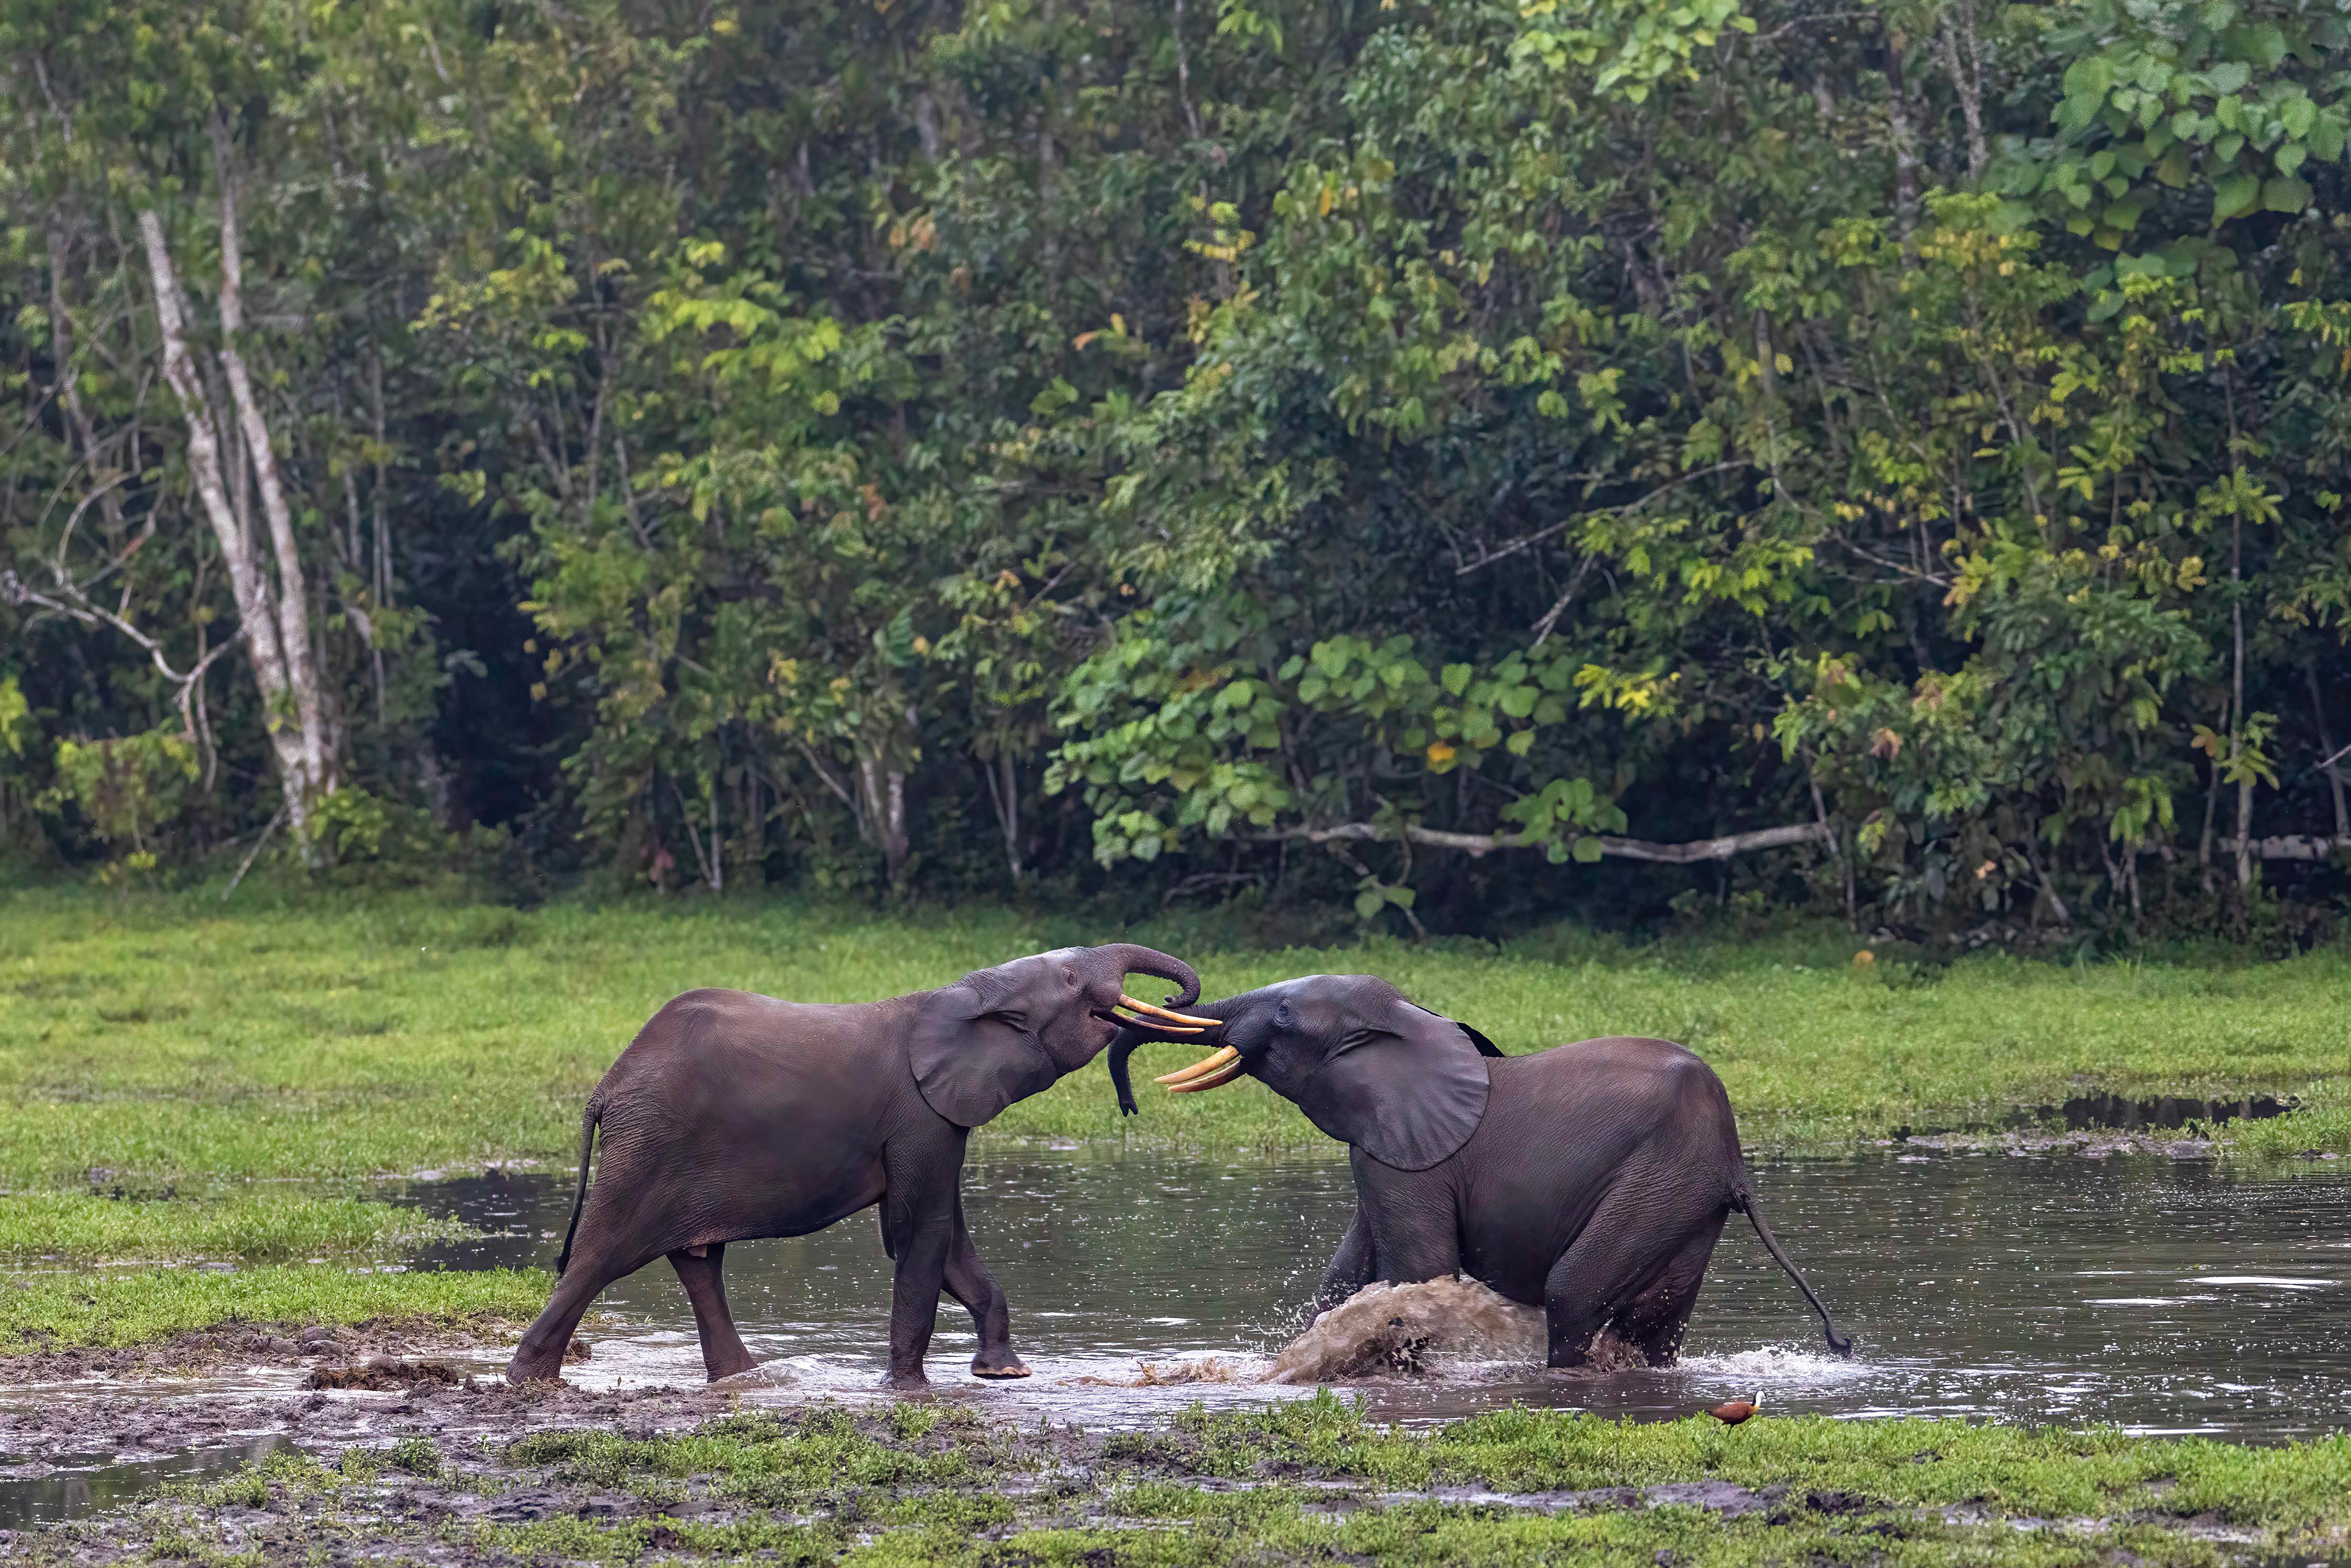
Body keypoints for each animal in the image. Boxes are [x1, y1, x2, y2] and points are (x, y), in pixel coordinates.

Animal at [506, 942, 1216, 1388]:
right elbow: (919, 1233)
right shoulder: (921, 1115)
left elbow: (947, 1238)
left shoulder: (939, 1119)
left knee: (697, 1262)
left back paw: (744, 1378)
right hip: (649, 1146)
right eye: (1071, 983)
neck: (964, 991)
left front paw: (1003, 1372)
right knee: (601, 1256)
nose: (1172, 1004)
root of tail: (606, 1088)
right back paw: (528, 1380)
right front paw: (909, 1388)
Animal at [1107, 974, 1851, 1370]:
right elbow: (1343, 1277)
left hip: (1656, 1185)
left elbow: (1417, 1271)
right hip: (1684, 1207)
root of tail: (1734, 1161)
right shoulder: (1387, 1148)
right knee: (1658, 1325)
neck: (1412, 1019)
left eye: (1285, 1016)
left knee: (1572, 1292)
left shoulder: (1411, 1165)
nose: (1130, 1104)